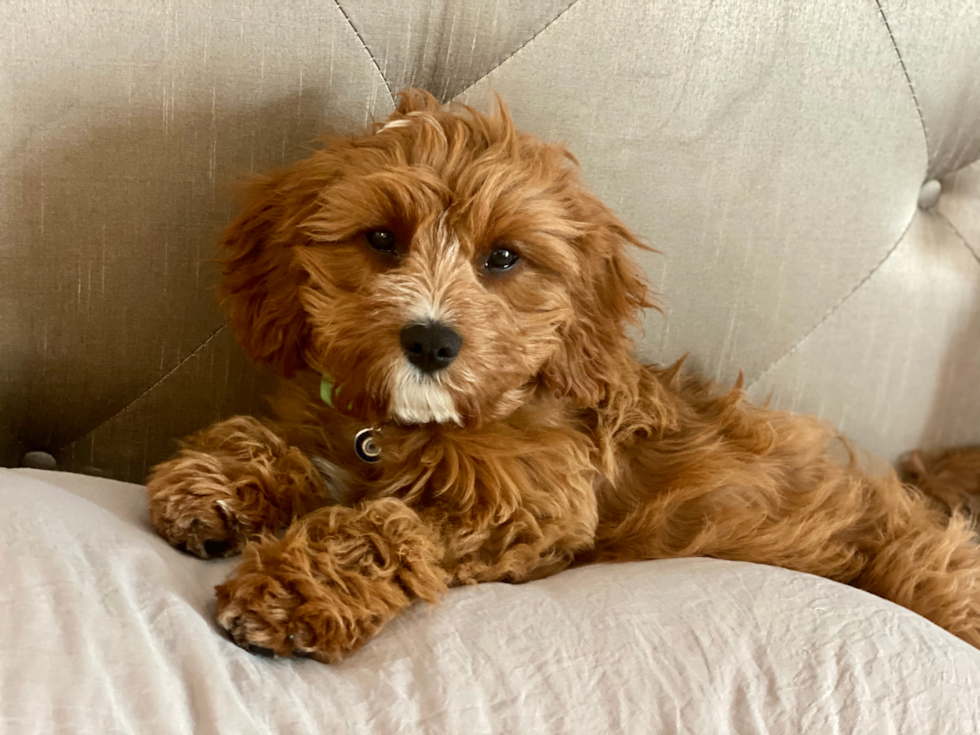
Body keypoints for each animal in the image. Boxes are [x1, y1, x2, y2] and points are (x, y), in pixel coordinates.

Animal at [145, 89, 980, 664]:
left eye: (503, 257)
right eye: (380, 238)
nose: (431, 341)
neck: (402, 425)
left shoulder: (528, 512)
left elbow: (382, 525)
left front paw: (289, 591)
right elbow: (266, 437)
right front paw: (211, 484)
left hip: (924, 572)